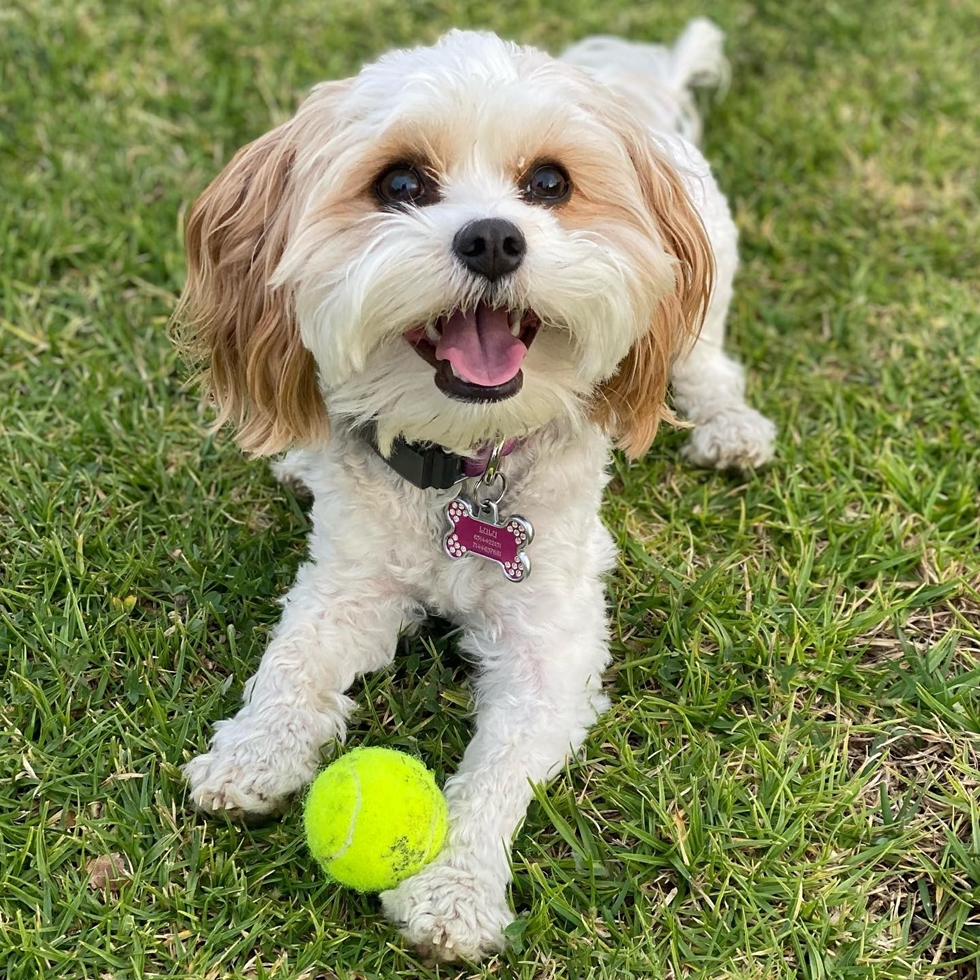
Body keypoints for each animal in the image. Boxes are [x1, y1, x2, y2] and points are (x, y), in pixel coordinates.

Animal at [176, 17, 772, 964]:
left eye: (551, 183)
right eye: (401, 184)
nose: (493, 238)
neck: (464, 467)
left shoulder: (552, 645)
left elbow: (499, 768)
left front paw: (453, 890)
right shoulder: (348, 582)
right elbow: (293, 661)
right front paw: (253, 753)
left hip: (701, 290)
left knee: (707, 364)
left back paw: (731, 428)